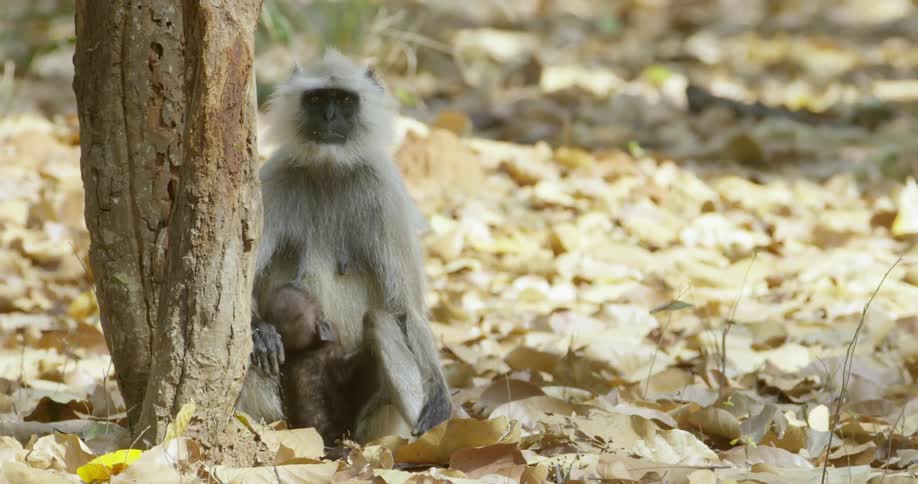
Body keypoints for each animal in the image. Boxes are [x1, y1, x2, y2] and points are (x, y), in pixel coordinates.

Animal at [235, 50, 451, 443]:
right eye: (318, 99)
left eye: (344, 100)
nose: (330, 117)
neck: (330, 169)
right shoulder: (274, 180)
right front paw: (262, 331)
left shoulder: (384, 188)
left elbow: (406, 309)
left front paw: (441, 397)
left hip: (377, 418)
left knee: (382, 321)